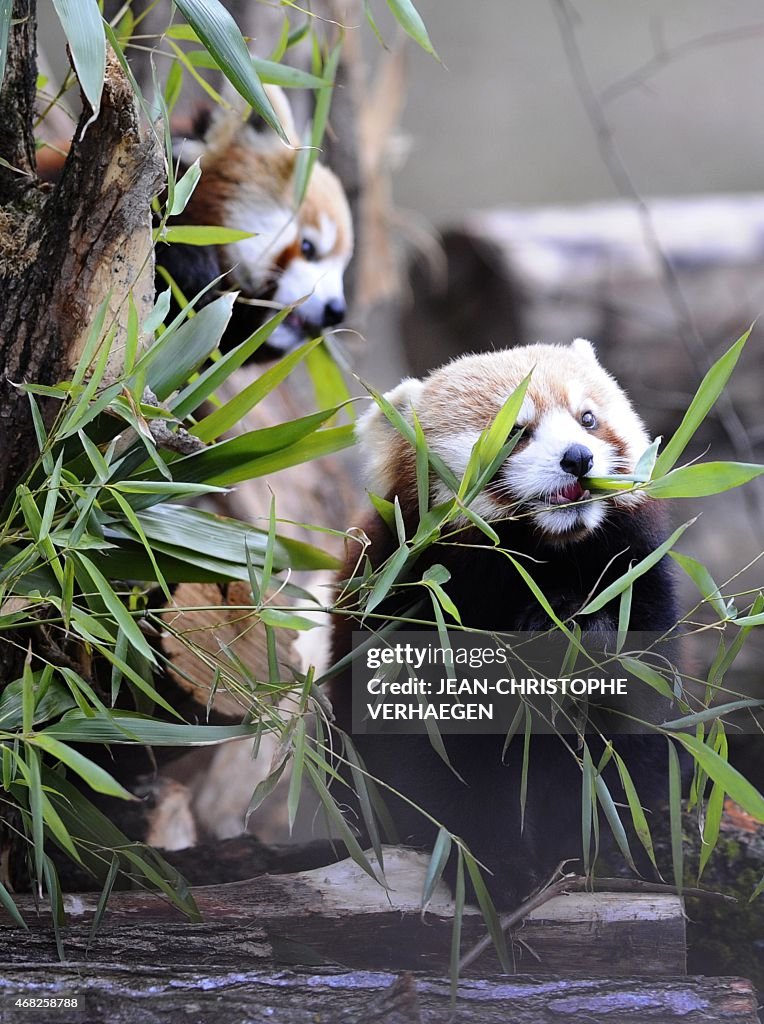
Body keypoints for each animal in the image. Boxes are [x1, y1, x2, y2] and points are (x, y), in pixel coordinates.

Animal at [327, 339, 680, 909]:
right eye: (517, 431)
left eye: (587, 419)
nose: (578, 458)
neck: (540, 559)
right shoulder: (408, 605)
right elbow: (437, 762)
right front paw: (493, 869)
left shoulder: (638, 577)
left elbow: (625, 723)